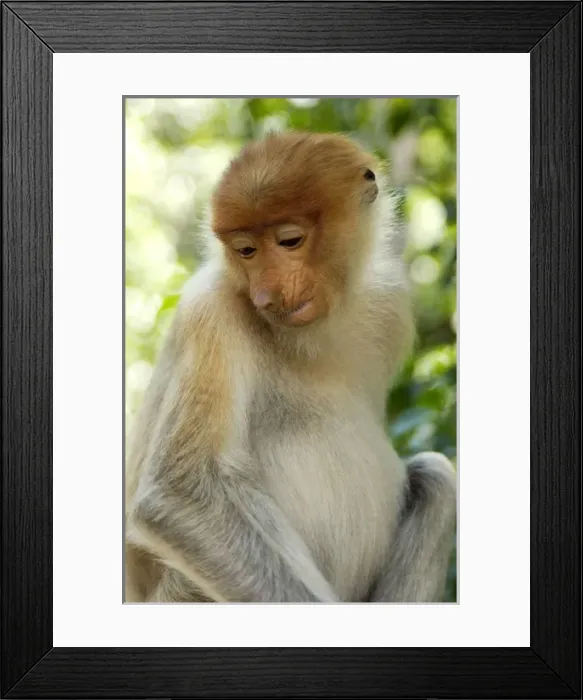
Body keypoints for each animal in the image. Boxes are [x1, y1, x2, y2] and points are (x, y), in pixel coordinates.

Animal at [124, 130, 457, 603]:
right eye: (246, 250)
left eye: (289, 241)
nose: (266, 295)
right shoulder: (213, 312)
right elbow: (179, 493)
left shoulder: (388, 302)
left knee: (435, 478)